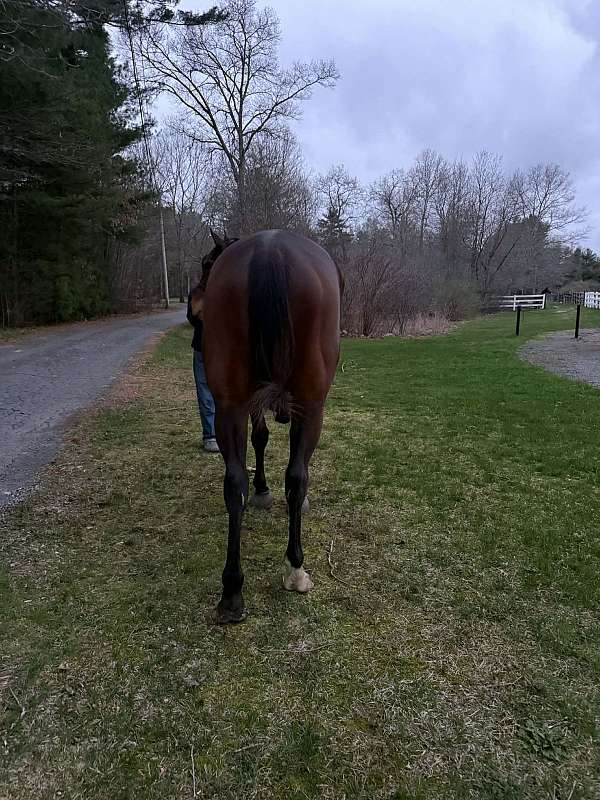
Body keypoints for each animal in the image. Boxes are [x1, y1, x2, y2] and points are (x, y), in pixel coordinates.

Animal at [193, 229, 341, 623]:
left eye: (207, 263)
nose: (192, 313)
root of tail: (269, 248)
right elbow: (278, 453)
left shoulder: (251, 400)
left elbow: (258, 440)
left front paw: (260, 490)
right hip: (311, 405)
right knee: (297, 475)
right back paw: (295, 567)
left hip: (230, 405)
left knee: (234, 483)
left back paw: (232, 590)